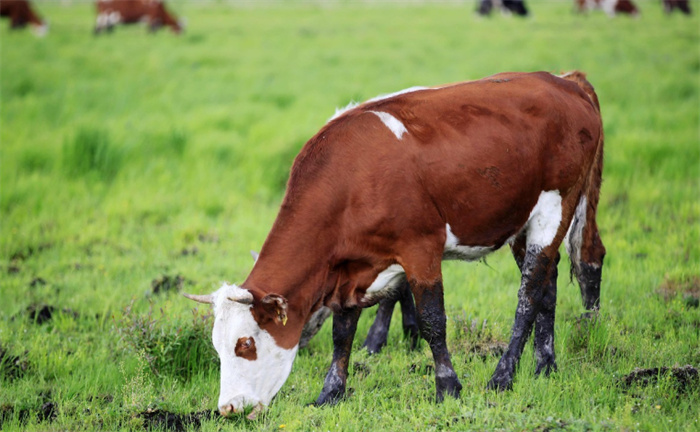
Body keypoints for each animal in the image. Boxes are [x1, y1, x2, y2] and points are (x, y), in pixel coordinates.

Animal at [183, 71, 604, 418]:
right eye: (217, 347)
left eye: (245, 344)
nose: (228, 408)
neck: (353, 178)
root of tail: (564, 81)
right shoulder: (351, 269)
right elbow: (343, 331)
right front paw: (330, 393)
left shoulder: (421, 249)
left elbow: (433, 321)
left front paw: (448, 387)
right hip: (523, 220)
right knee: (547, 285)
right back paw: (544, 365)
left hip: (556, 206)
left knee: (530, 294)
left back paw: (504, 375)